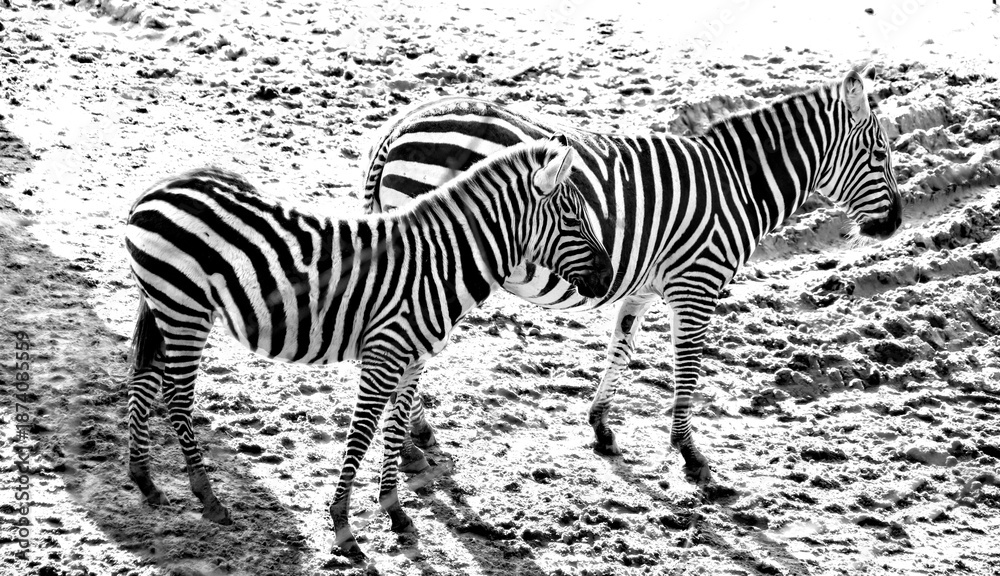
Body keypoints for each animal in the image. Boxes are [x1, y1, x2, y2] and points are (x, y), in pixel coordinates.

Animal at [124, 135, 613, 558]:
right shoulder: (384, 356)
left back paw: (145, 480)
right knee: (176, 395)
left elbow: (394, 432)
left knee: (143, 379)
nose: (609, 279)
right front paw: (343, 526)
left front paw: (395, 511)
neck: (441, 264)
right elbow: (360, 436)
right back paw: (208, 498)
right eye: (573, 220)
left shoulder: (413, 360)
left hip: (164, 304)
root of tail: (159, 187)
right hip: (184, 308)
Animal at [364, 66, 902, 484]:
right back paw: (411, 441)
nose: (896, 224)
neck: (738, 183)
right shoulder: (696, 285)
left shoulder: (642, 289)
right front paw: (689, 454)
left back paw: (415, 433)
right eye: (880, 156)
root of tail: (404, 124)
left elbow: (620, 351)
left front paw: (601, 428)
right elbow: (687, 370)